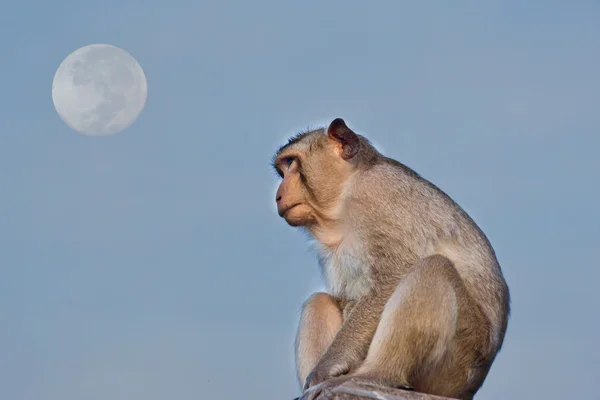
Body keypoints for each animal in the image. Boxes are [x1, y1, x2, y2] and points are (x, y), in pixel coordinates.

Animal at [272, 119, 510, 400]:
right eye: (283, 170)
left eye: (292, 163)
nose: (279, 195)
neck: (346, 195)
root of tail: (470, 389)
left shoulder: (377, 196)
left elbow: (392, 277)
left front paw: (325, 369)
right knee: (318, 301)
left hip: (459, 364)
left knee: (433, 269)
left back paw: (375, 375)